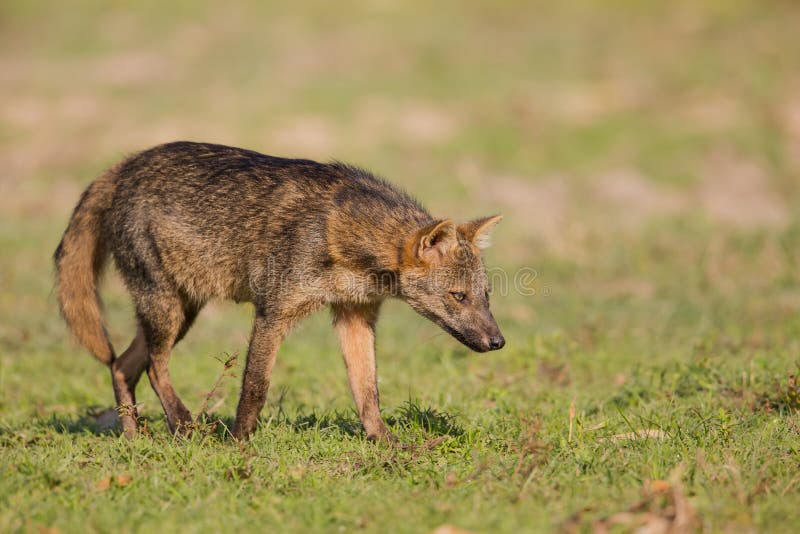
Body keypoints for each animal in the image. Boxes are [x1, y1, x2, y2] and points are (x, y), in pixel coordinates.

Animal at [54, 142, 506, 444]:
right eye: (458, 296)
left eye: (485, 295)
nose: (498, 342)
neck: (342, 235)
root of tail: (124, 165)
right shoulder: (273, 313)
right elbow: (255, 387)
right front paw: (239, 444)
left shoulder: (355, 316)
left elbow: (368, 391)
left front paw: (387, 444)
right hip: (167, 312)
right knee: (152, 366)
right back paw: (183, 425)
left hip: (180, 313)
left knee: (121, 365)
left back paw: (134, 439)